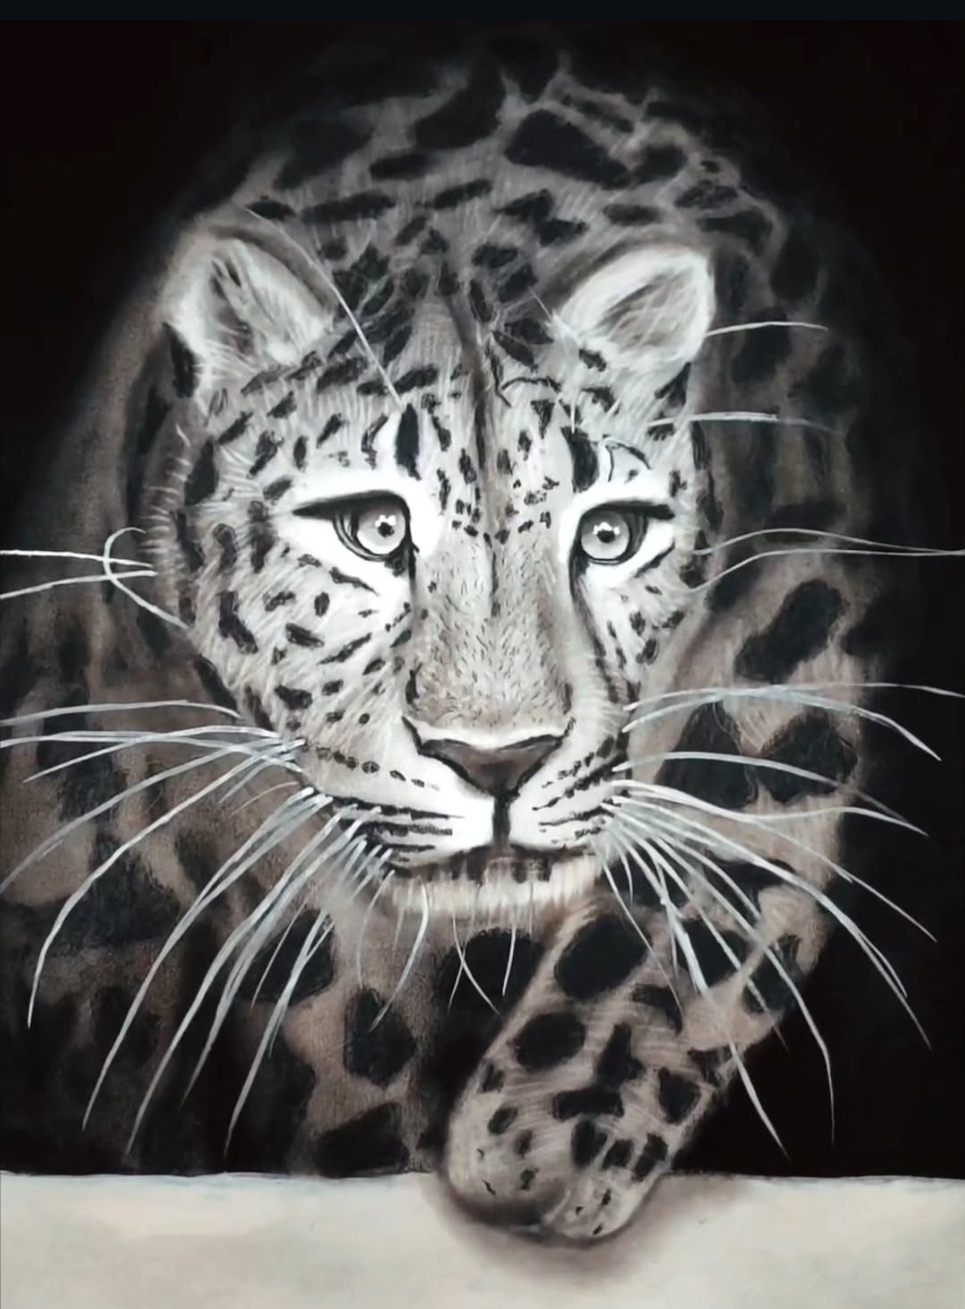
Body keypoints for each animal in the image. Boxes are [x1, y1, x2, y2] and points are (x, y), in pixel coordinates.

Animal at [1, 27, 957, 1244]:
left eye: (607, 535)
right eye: (371, 528)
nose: (497, 763)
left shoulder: (810, 576)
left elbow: (725, 850)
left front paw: (553, 1135)